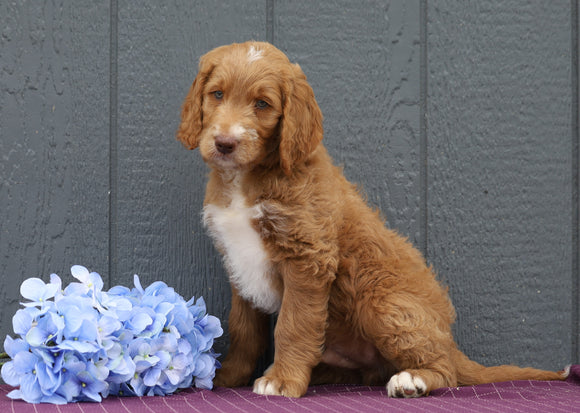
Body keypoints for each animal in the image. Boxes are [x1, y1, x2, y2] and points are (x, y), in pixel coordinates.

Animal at [177, 41, 568, 396]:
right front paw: (226, 377)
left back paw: (413, 380)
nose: (225, 143)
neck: (248, 178)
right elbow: (244, 330)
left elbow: (293, 324)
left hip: (381, 302)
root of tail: (451, 341)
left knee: (447, 371)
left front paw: (282, 380)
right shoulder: (240, 265)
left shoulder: (308, 258)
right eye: (217, 94)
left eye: (262, 104)